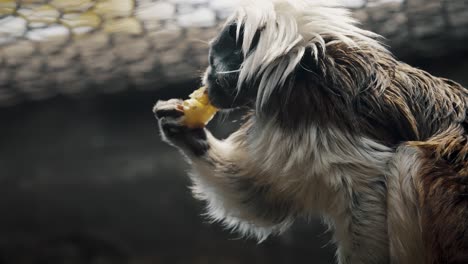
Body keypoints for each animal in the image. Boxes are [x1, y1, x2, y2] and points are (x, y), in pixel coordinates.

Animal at [153, 0, 464, 262]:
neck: (295, 67)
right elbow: (266, 197)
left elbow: (366, 187)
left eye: (212, 59)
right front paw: (186, 133)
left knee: (409, 158)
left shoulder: (322, 103)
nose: (207, 78)